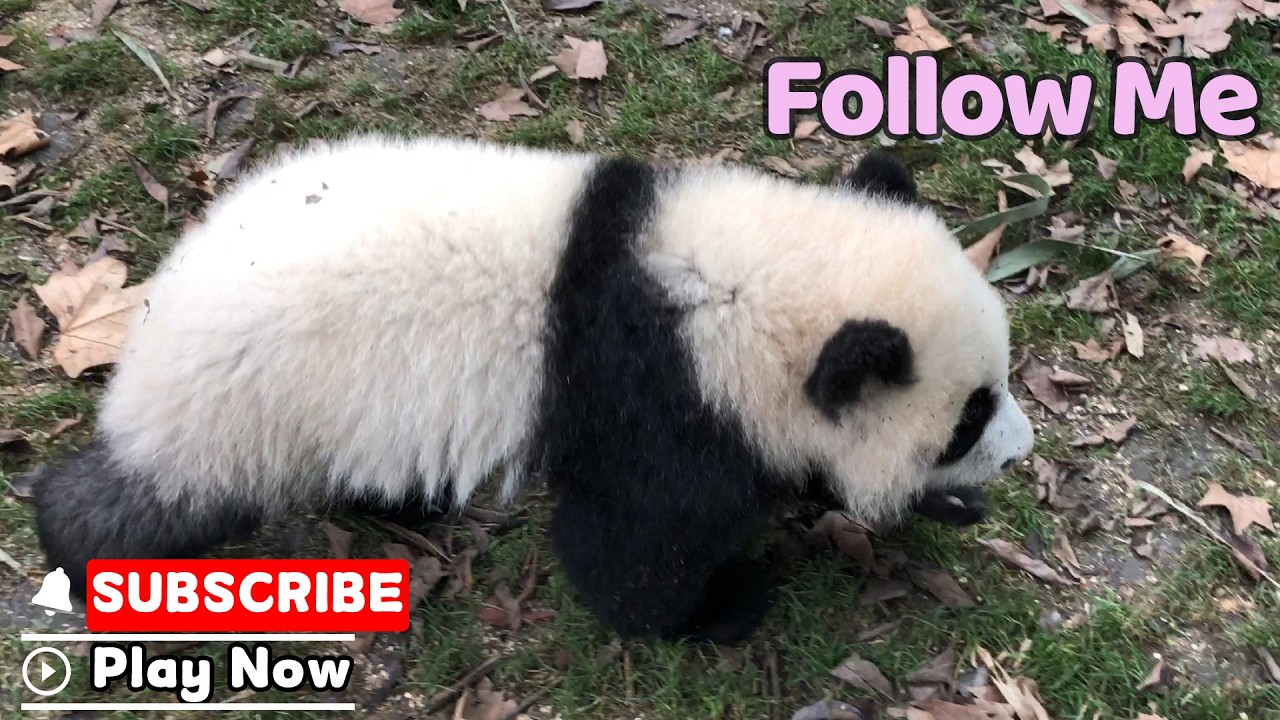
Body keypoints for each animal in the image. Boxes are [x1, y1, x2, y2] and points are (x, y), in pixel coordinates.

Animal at [31, 135, 1034, 645]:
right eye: (966, 419)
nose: (1019, 451)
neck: (741, 288)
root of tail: (154, 325)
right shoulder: (651, 394)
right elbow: (636, 541)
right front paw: (721, 606)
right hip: (249, 402)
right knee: (152, 498)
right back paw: (83, 545)